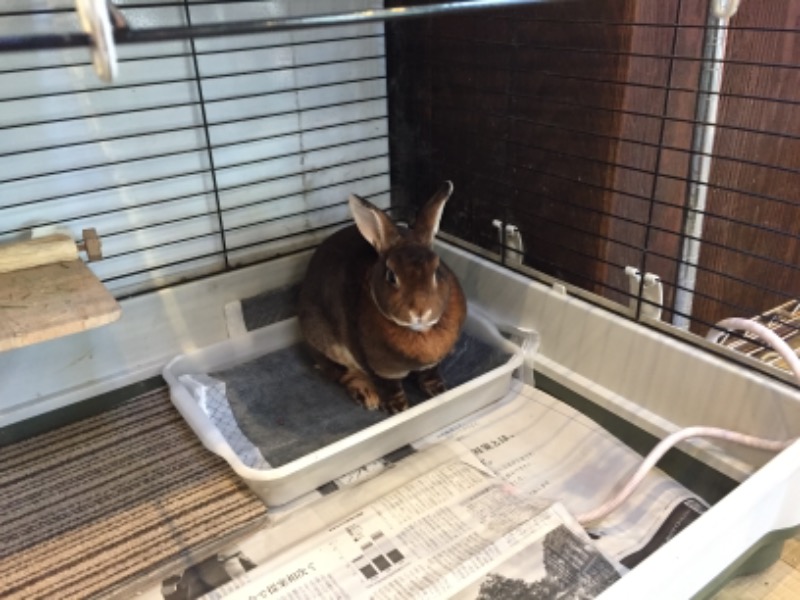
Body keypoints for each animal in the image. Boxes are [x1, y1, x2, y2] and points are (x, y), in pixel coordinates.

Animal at [296, 180, 466, 414]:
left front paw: (439, 391)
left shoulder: (431, 365)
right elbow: (389, 386)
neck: (419, 331)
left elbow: (429, 375)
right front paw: (398, 408)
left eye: (436, 269)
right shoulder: (379, 367)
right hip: (323, 340)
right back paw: (367, 396)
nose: (421, 311)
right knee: (342, 374)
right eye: (391, 275)